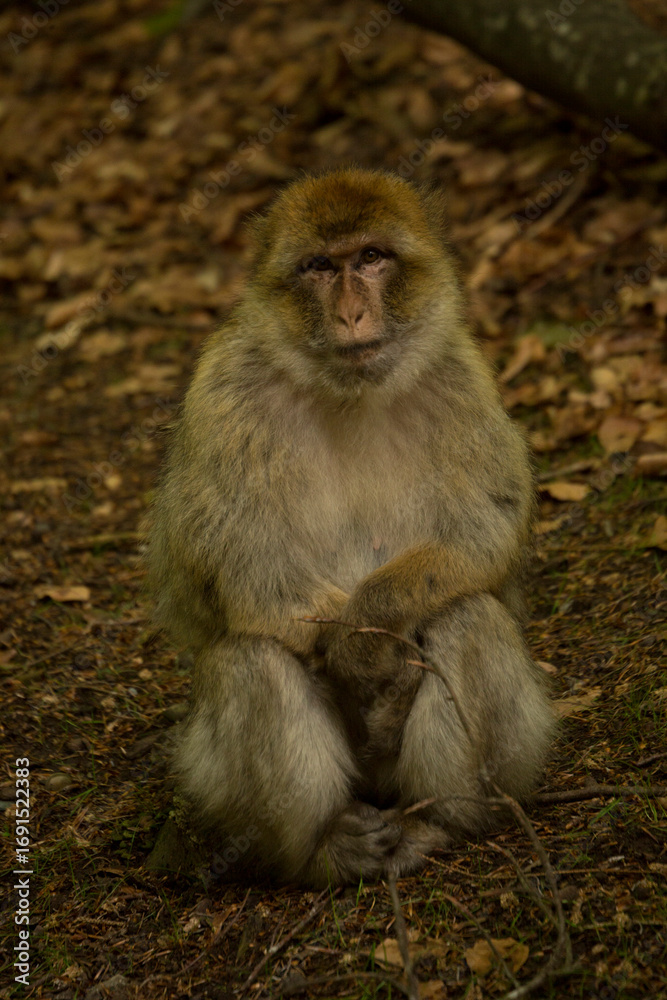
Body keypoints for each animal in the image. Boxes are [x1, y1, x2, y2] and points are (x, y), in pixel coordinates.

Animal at [148, 167, 555, 887]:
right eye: (318, 267)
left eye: (370, 257)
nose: (351, 313)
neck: (350, 391)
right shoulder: (224, 392)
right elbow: (235, 561)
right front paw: (348, 648)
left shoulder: (460, 378)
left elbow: (483, 527)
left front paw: (363, 638)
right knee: (249, 659)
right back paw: (320, 850)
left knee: (467, 614)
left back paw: (440, 818)